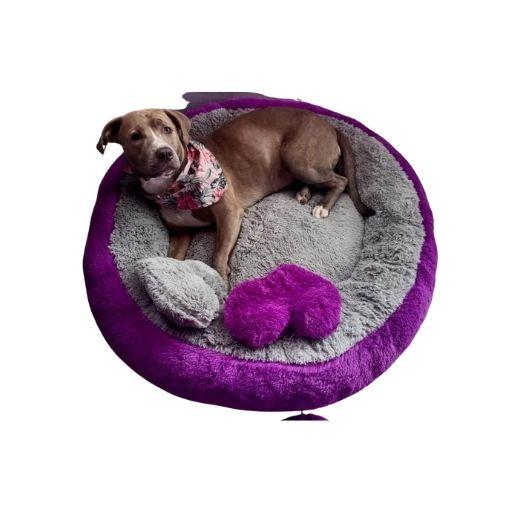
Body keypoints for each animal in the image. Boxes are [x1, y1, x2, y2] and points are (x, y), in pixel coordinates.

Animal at [97, 107, 373, 281]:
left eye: (166, 129)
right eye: (135, 136)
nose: (164, 152)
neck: (175, 186)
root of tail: (331, 125)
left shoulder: (229, 214)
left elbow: (218, 255)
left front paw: (222, 284)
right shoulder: (180, 232)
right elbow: (173, 257)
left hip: (297, 157)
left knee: (340, 180)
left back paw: (322, 206)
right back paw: (304, 193)